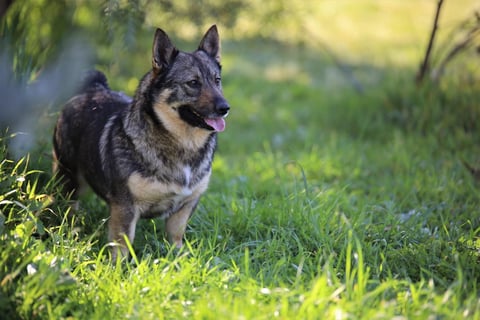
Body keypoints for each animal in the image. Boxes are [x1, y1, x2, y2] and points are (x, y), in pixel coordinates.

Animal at [53, 25, 230, 260]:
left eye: (217, 80)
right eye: (193, 83)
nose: (225, 108)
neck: (183, 144)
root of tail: (93, 88)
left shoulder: (185, 207)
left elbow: (176, 237)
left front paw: (178, 260)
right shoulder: (125, 207)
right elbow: (122, 245)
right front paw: (118, 268)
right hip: (68, 178)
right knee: (68, 206)